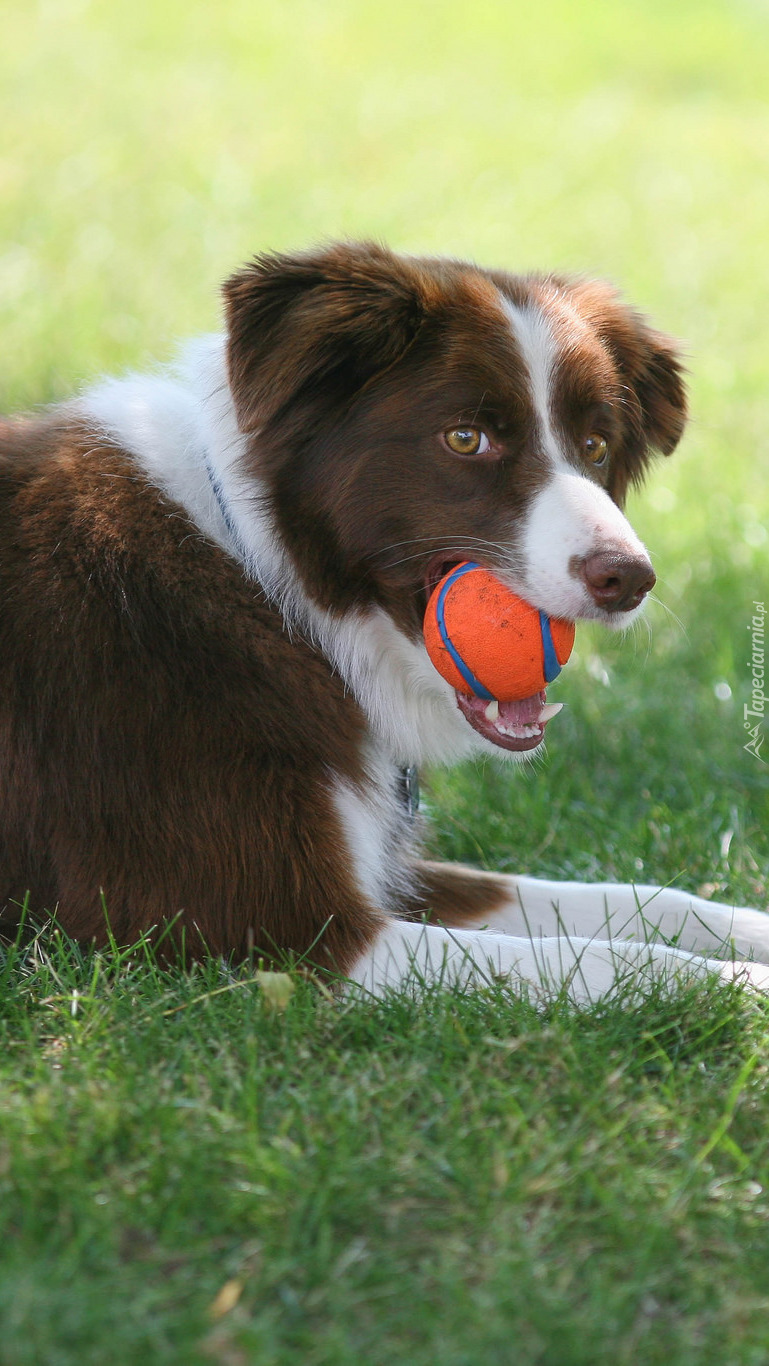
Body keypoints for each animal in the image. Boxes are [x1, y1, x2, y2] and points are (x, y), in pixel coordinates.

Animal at [1, 240, 769, 999]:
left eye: (596, 446)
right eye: (465, 438)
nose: (629, 579)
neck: (266, 579)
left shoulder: (383, 869)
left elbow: (635, 900)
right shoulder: (271, 929)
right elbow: (612, 961)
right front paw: (742, 988)